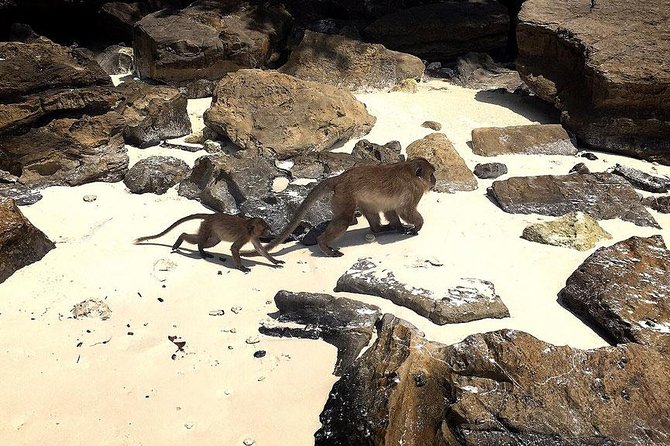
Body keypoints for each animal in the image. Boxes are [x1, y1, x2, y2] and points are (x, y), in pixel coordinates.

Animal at [134, 213, 284, 273]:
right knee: (200, 240)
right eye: (264, 229)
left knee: (213, 241)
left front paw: (275, 262)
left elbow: (260, 250)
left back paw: (201, 249)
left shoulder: (252, 236)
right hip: (207, 226)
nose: (269, 233)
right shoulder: (245, 235)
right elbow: (234, 248)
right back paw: (188, 242)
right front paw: (241, 267)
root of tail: (210, 215)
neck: (249, 227)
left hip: (210, 229)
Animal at [243, 157, 436, 258]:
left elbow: (391, 210)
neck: (410, 172)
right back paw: (323, 244)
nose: (434, 180)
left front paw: (398, 227)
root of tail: (339, 178)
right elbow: (405, 210)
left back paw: (379, 229)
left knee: (370, 210)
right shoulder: (414, 190)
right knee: (344, 219)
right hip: (344, 196)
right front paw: (417, 226)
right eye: (432, 174)